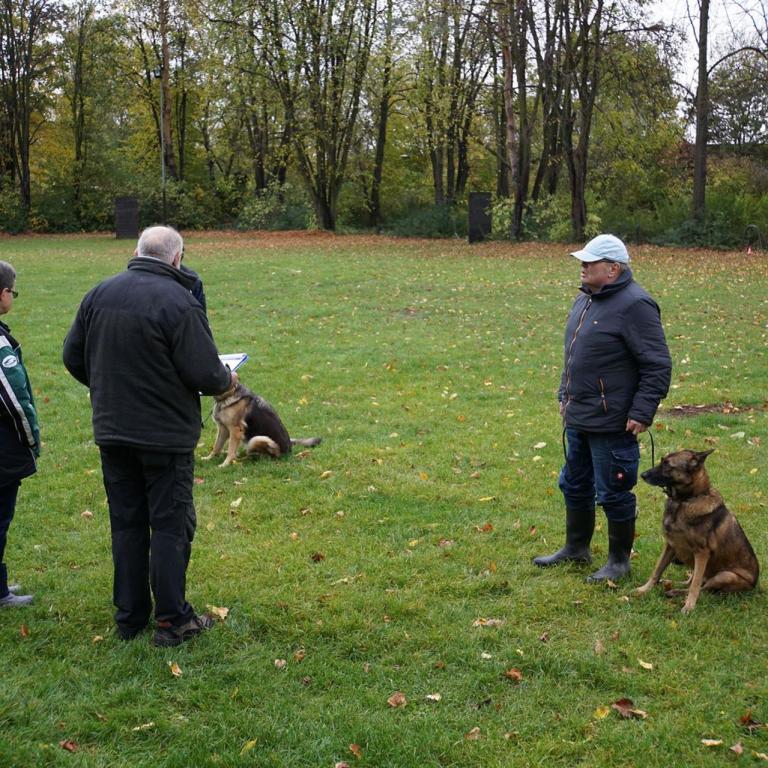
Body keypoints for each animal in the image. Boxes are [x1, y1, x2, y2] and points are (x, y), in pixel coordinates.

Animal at [634, 449, 759, 613]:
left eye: (668, 465)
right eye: (661, 461)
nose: (642, 475)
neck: (684, 501)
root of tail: (754, 585)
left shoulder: (702, 553)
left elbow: (695, 586)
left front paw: (689, 607)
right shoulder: (670, 546)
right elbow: (656, 571)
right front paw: (644, 589)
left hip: (726, 575)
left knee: (703, 588)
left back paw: (676, 592)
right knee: (692, 582)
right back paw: (671, 585)